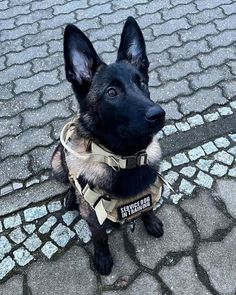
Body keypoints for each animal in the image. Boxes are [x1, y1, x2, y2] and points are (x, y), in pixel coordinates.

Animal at [51, 15, 166, 276]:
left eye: (142, 83)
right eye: (112, 92)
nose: (159, 114)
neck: (126, 158)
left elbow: (148, 207)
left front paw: (150, 221)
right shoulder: (93, 216)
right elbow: (100, 237)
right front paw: (103, 257)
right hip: (56, 163)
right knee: (68, 181)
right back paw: (71, 197)